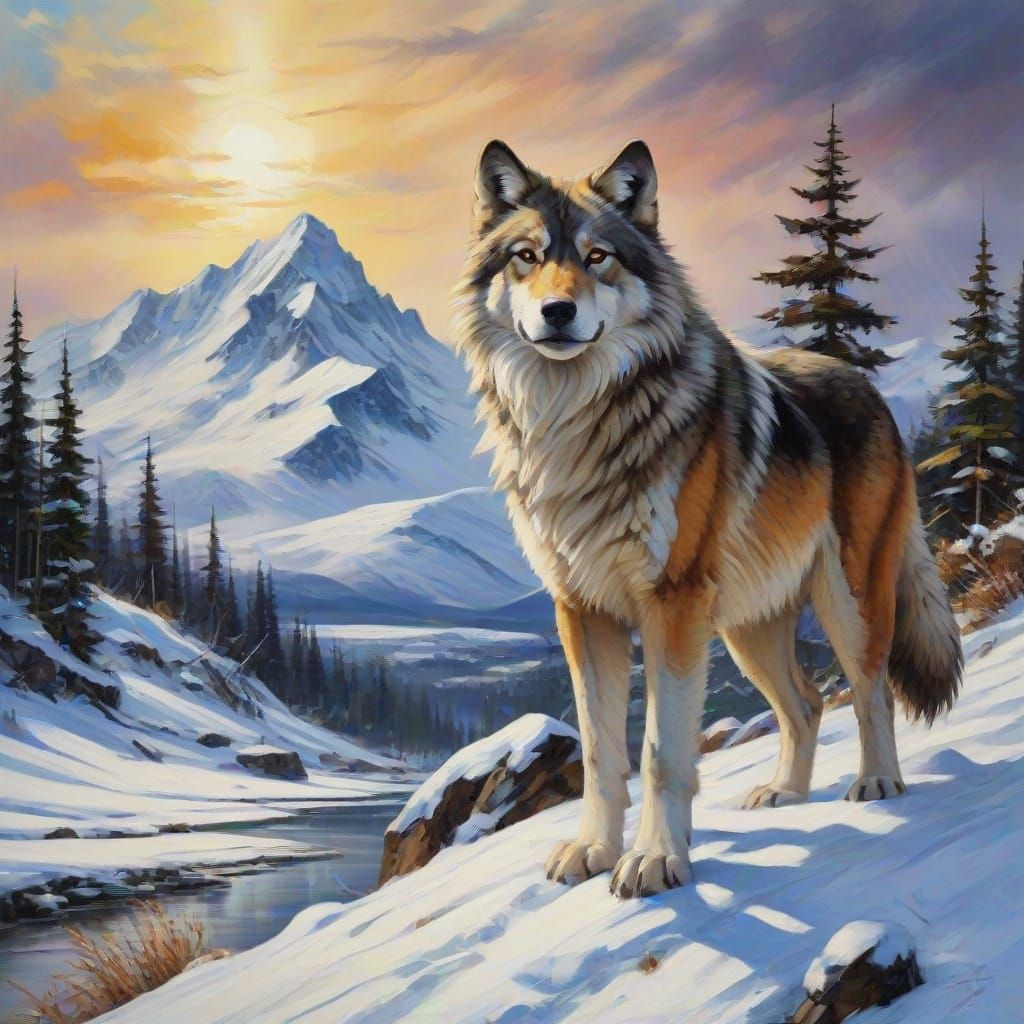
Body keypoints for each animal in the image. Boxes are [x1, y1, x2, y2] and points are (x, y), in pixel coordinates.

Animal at [451, 140, 962, 898]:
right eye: (527, 255)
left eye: (598, 256)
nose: (557, 310)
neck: (575, 424)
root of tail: (862, 382)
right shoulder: (581, 610)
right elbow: (601, 752)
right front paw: (593, 851)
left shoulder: (672, 602)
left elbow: (661, 750)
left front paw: (656, 860)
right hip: (746, 627)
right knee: (806, 704)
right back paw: (786, 794)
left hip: (846, 599)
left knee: (872, 690)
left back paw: (877, 783)